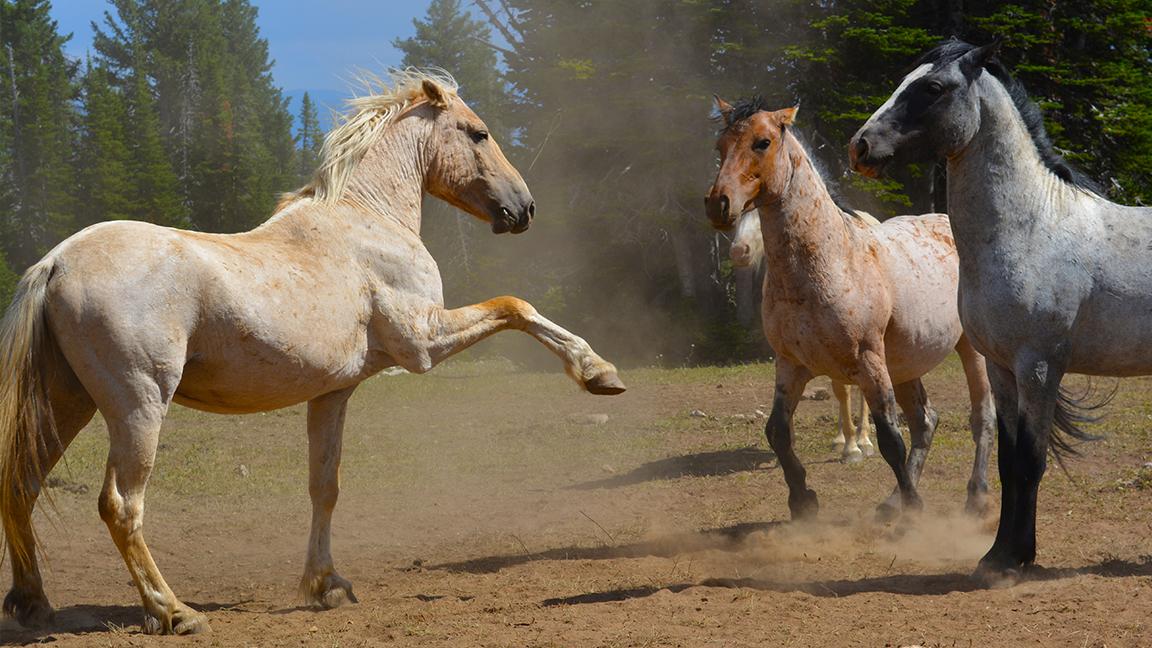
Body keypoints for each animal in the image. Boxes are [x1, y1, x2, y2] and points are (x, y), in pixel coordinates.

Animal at [0, 70, 631, 631]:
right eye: (477, 133)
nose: (523, 209)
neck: (367, 219)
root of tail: (55, 262)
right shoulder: (424, 342)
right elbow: (515, 306)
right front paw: (598, 372)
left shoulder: (333, 393)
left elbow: (324, 487)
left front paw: (327, 585)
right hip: (138, 405)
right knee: (121, 506)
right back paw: (173, 612)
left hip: (69, 402)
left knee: (22, 483)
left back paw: (34, 603)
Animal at [728, 207, 870, 458]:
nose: (738, 251)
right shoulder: (786, 350)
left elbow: (842, 390)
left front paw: (852, 448)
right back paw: (839, 438)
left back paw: (863, 440)